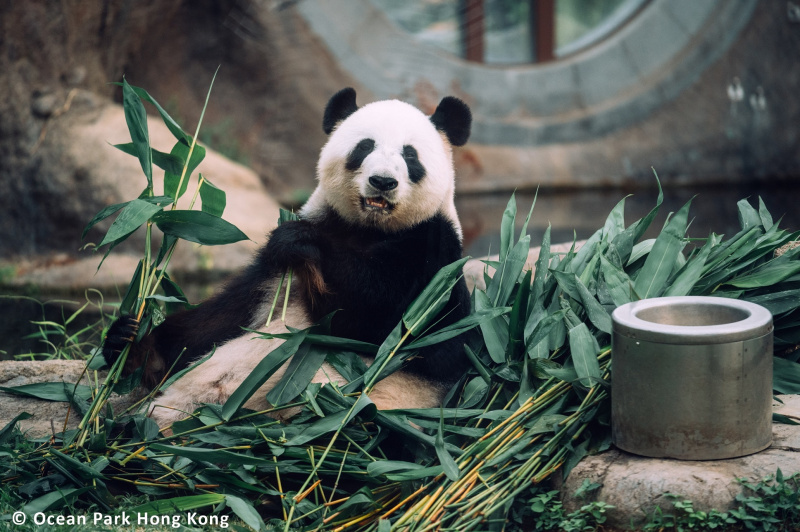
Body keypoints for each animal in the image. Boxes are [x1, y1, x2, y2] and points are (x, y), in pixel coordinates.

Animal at [102, 87, 472, 428]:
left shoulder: (433, 258)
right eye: (364, 147)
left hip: (375, 414)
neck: (368, 229)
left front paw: (303, 243)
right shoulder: (272, 273)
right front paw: (130, 343)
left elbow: (383, 324)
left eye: (411, 156)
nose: (382, 181)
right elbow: (214, 322)